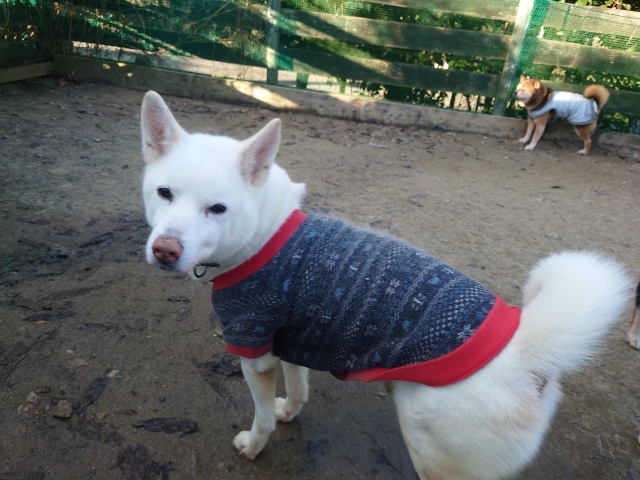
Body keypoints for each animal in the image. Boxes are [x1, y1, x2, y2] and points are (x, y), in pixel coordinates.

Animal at [140, 91, 631, 480]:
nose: (164, 251)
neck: (265, 231)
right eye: (164, 193)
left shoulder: (254, 349)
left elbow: (261, 419)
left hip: (428, 443)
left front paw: (254, 446)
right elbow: (298, 390)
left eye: (217, 209)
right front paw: (290, 412)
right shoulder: (291, 340)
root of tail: (527, 351)